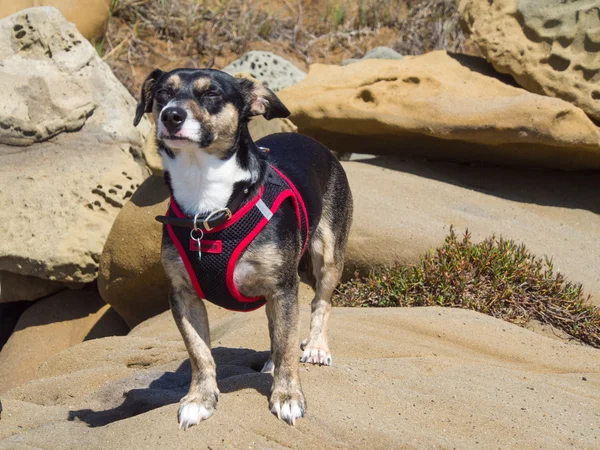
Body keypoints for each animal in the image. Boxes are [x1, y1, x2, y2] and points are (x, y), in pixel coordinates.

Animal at [134, 67, 354, 428]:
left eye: (211, 94)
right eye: (163, 94)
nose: (171, 115)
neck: (208, 203)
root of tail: (313, 141)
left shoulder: (283, 286)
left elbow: (289, 344)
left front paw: (287, 396)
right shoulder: (182, 294)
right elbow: (199, 353)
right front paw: (200, 399)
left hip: (328, 253)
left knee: (320, 302)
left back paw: (317, 347)